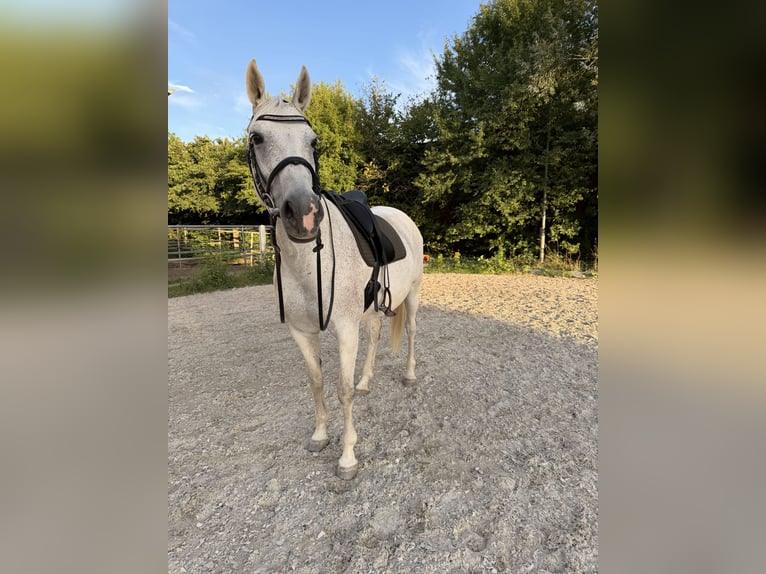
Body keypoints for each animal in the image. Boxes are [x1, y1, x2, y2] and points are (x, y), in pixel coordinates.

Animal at [244, 59, 423, 480]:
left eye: (313, 141)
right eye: (257, 138)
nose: (304, 214)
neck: (309, 265)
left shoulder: (343, 328)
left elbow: (341, 389)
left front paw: (347, 457)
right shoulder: (302, 331)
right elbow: (317, 381)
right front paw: (320, 436)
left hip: (412, 296)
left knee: (409, 331)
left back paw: (408, 375)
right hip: (371, 307)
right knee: (375, 336)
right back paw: (366, 381)